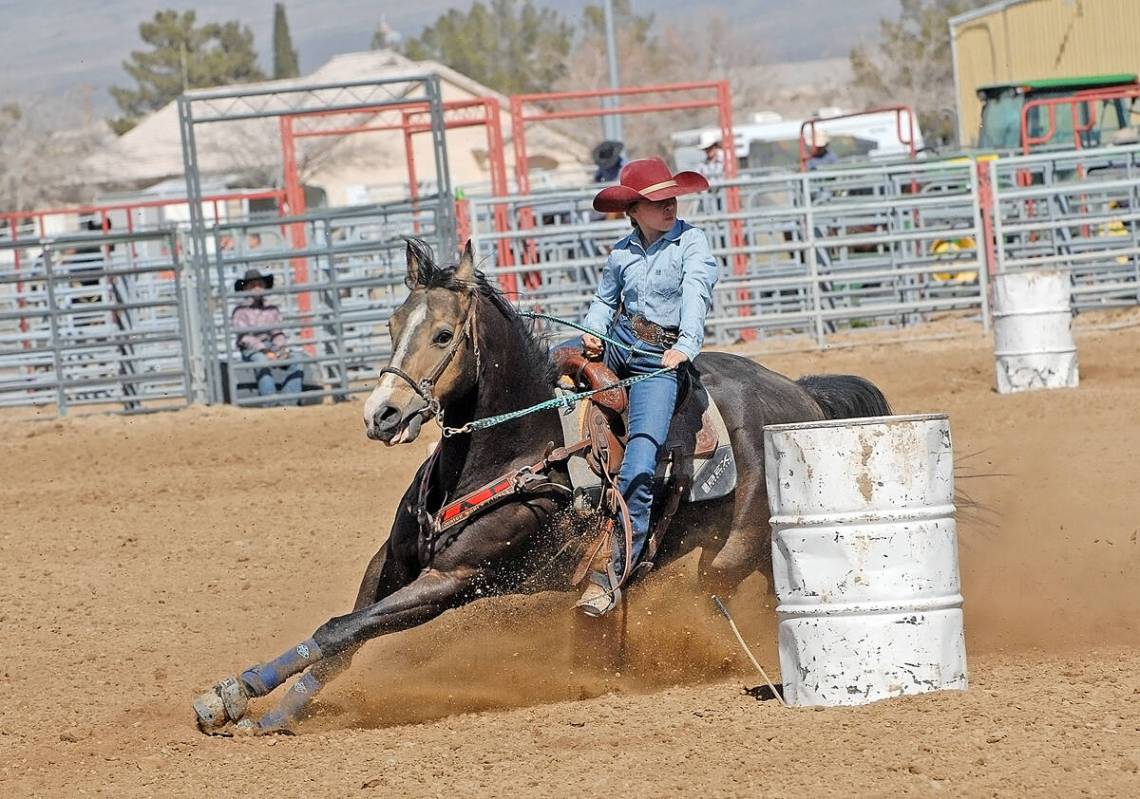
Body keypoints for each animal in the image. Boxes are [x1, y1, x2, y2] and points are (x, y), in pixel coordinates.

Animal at [193, 238, 889, 734]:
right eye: (393, 326)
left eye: (443, 334)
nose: (382, 415)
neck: (510, 453)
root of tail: (800, 392)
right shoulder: (390, 564)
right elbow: (343, 636)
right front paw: (259, 708)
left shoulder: (453, 581)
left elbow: (342, 630)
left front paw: (241, 696)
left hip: (728, 556)